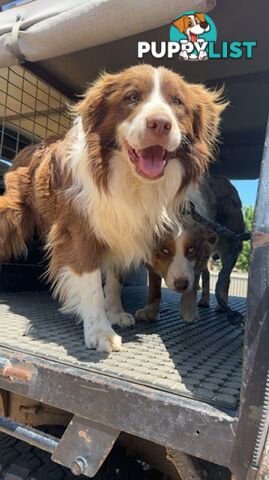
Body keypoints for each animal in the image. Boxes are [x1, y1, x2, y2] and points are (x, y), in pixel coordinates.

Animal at [0, 63, 225, 350]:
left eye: (177, 102)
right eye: (132, 97)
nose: (160, 124)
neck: (128, 179)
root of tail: (26, 148)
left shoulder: (120, 228)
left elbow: (115, 279)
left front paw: (116, 313)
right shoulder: (81, 231)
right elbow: (92, 283)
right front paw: (100, 330)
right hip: (11, 215)